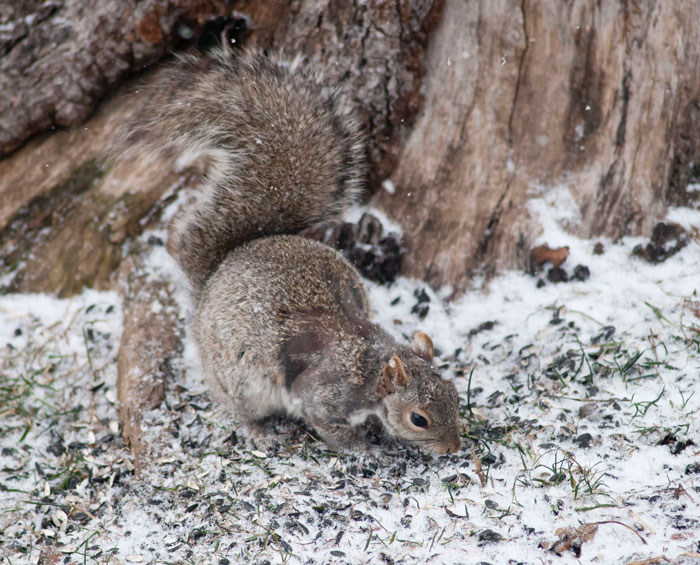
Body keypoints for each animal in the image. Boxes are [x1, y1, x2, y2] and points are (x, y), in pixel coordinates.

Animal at [113, 47, 462, 454]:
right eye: (418, 419)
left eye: (455, 394)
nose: (455, 447)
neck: (371, 367)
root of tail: (213, 280)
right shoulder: (321, 393)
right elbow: (327, 425)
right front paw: (363, 447)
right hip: (243, 380)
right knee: (239, 408)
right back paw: (259, 431)